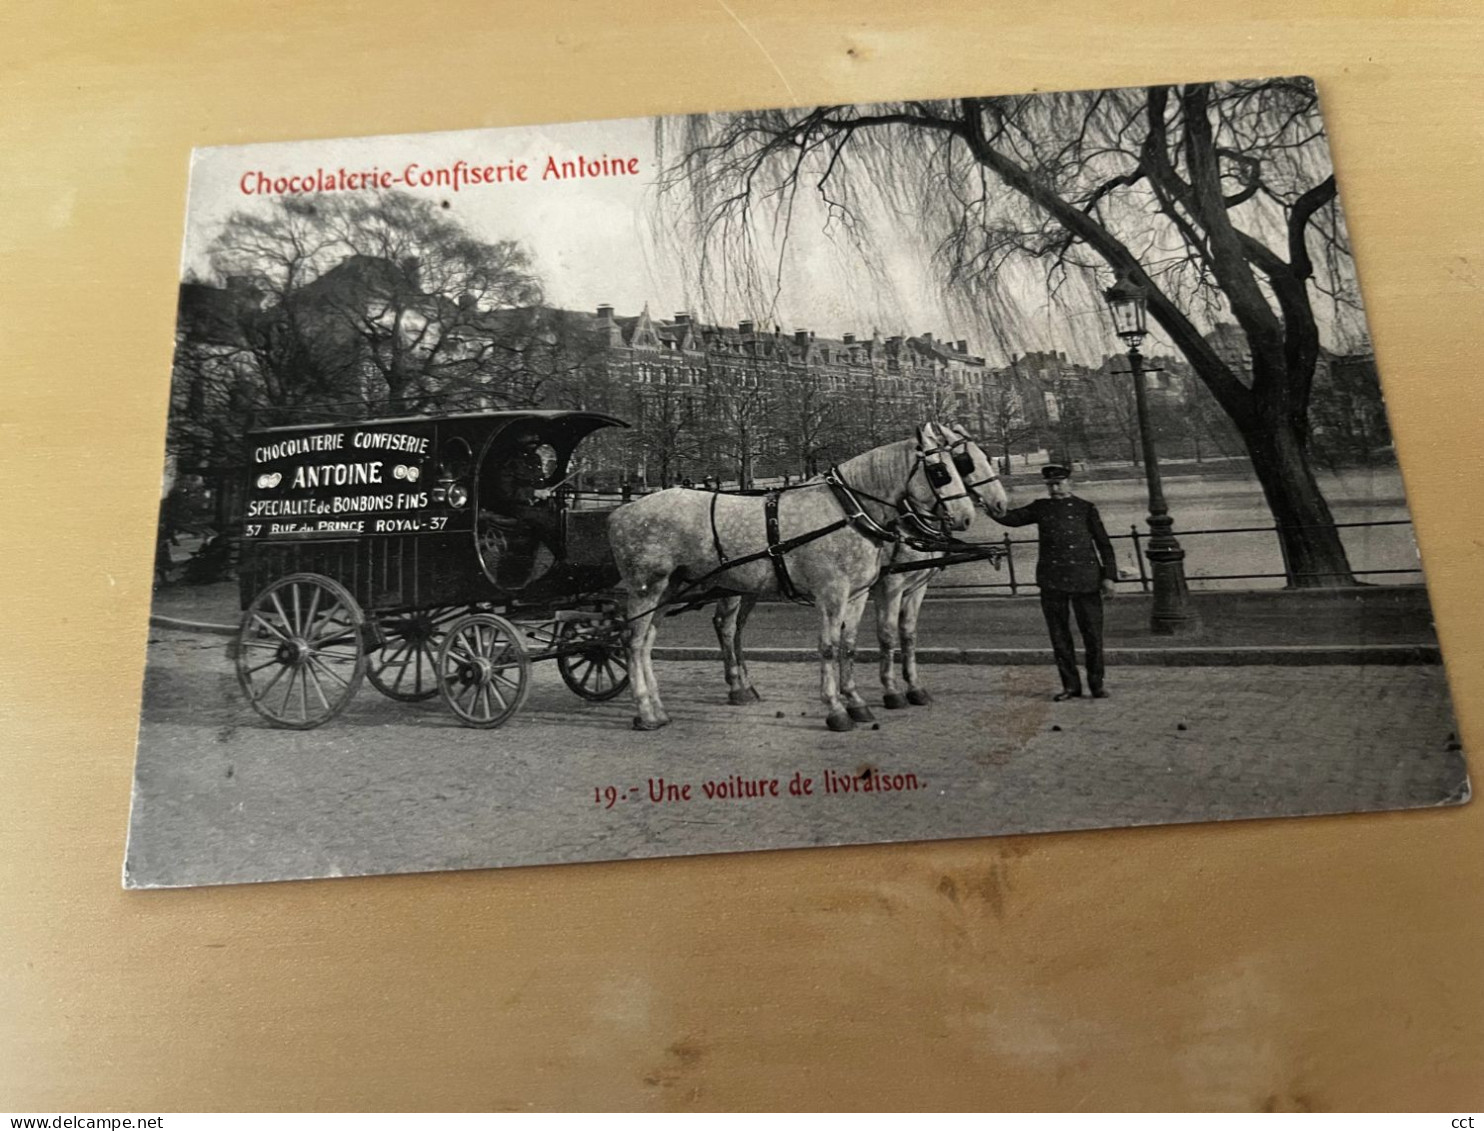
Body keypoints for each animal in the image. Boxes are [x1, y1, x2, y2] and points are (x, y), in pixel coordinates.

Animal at [608, 421, 979, 730]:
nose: (966, 517)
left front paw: (856, 702)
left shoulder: (859, 594)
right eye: (940, 471)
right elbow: (829, 647)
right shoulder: (834, 594)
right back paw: (646, 711)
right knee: (635, 641)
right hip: (647, 588)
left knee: (650, 642)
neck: (848, 510)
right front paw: (836, 709)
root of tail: (621, 512)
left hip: (672, 589)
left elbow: (849, 645)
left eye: (960, 465)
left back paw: (659, 708)